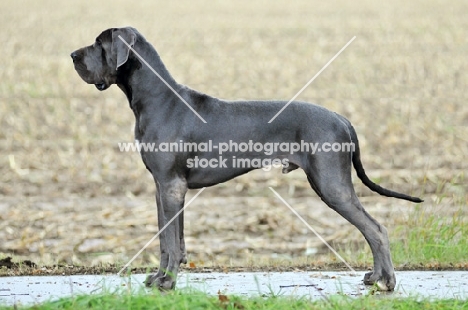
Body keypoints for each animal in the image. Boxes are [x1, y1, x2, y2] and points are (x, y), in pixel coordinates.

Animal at [70, 26, 424, 290]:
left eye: (99, 44)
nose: (72, 55)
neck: (159, 99)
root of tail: (342, 118)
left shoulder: (170, 185)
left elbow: (168, 241)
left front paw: (167, 283)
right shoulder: (165, 188)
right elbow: (170, 240)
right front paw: (160, 277)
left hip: (332, 185)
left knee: (376, 229)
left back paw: (386, 281)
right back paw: (375, 277)